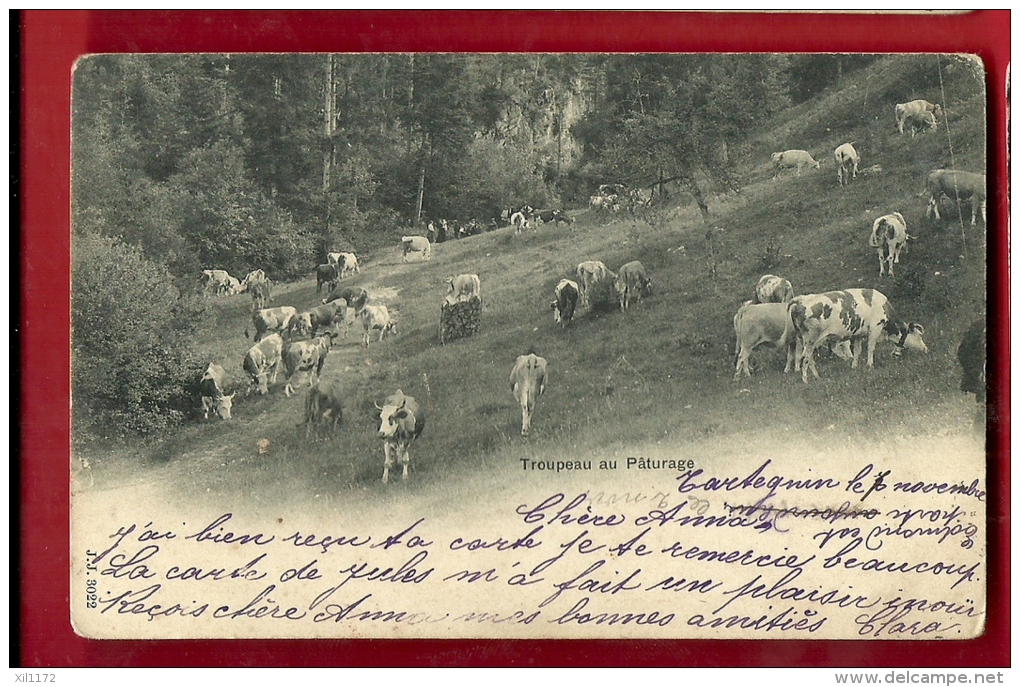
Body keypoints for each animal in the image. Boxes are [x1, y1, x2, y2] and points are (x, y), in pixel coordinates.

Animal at [779, 289, 926, 383]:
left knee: (808, 358)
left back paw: (816, 377)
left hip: (804, 339)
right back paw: (805, 380)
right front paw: (870, 365)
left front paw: (854, 366)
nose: (926, 349)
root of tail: (799, 302)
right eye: (919, 335)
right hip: (810, 339)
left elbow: (857, 351)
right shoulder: (875, 327)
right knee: (805, 358)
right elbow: (871, 348)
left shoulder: (858, 334)